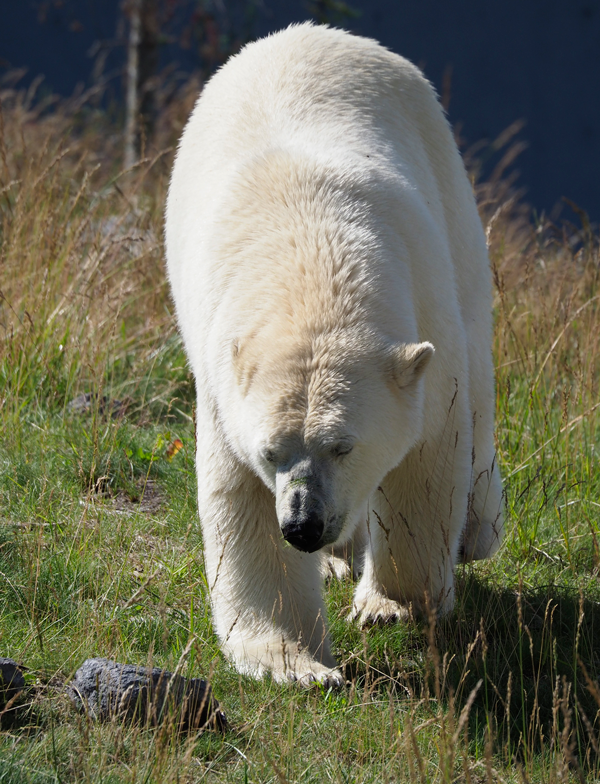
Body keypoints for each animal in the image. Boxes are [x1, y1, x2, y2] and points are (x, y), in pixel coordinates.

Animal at [164, 21, 502, 688]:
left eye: (343, 445)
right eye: (273, 451)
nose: (304, 525)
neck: (308, 249)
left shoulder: (423, 314)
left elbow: (428, 454)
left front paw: (391, 605)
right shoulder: (226, 384)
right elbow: (244, 504)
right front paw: (298, 661)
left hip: (450, 195)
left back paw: (473, 531)